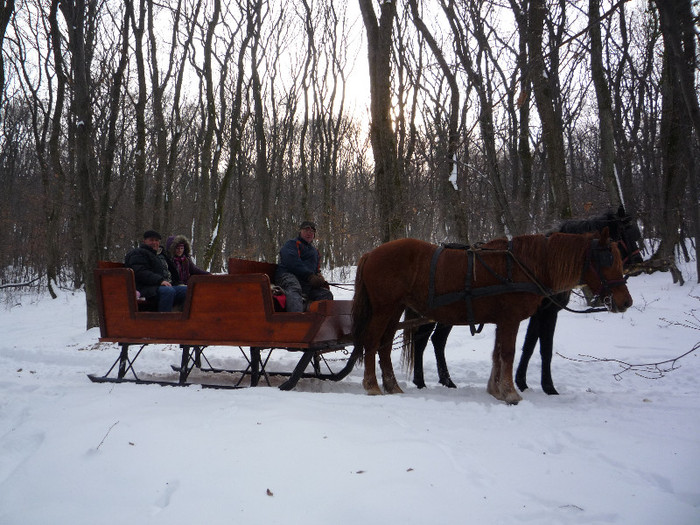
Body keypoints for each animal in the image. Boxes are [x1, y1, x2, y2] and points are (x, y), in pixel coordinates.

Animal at [352, 227, 632, 404]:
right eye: (607, 258)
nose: (625, 301)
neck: (525, 265)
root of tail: (370, 253)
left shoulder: (502, 319)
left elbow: (498, 353)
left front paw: (496, 389)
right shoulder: (510, 319)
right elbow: (508, 353)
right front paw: (510, 393)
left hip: (394, 309)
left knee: (385, 345)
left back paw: (392, 385)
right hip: (384, 308)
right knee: (371, 341)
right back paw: (373, 386)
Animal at [404, 205, 644, 392]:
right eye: (628, 235)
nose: (638, 264)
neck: (542, 267)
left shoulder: (537, 313)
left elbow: (529, 346)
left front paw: (522, 381)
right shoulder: (547, 312)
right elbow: (544, 349)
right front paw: (548, 387)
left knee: (435, 340)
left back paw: (444, 380)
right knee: (423, 340)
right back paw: (422, 381)